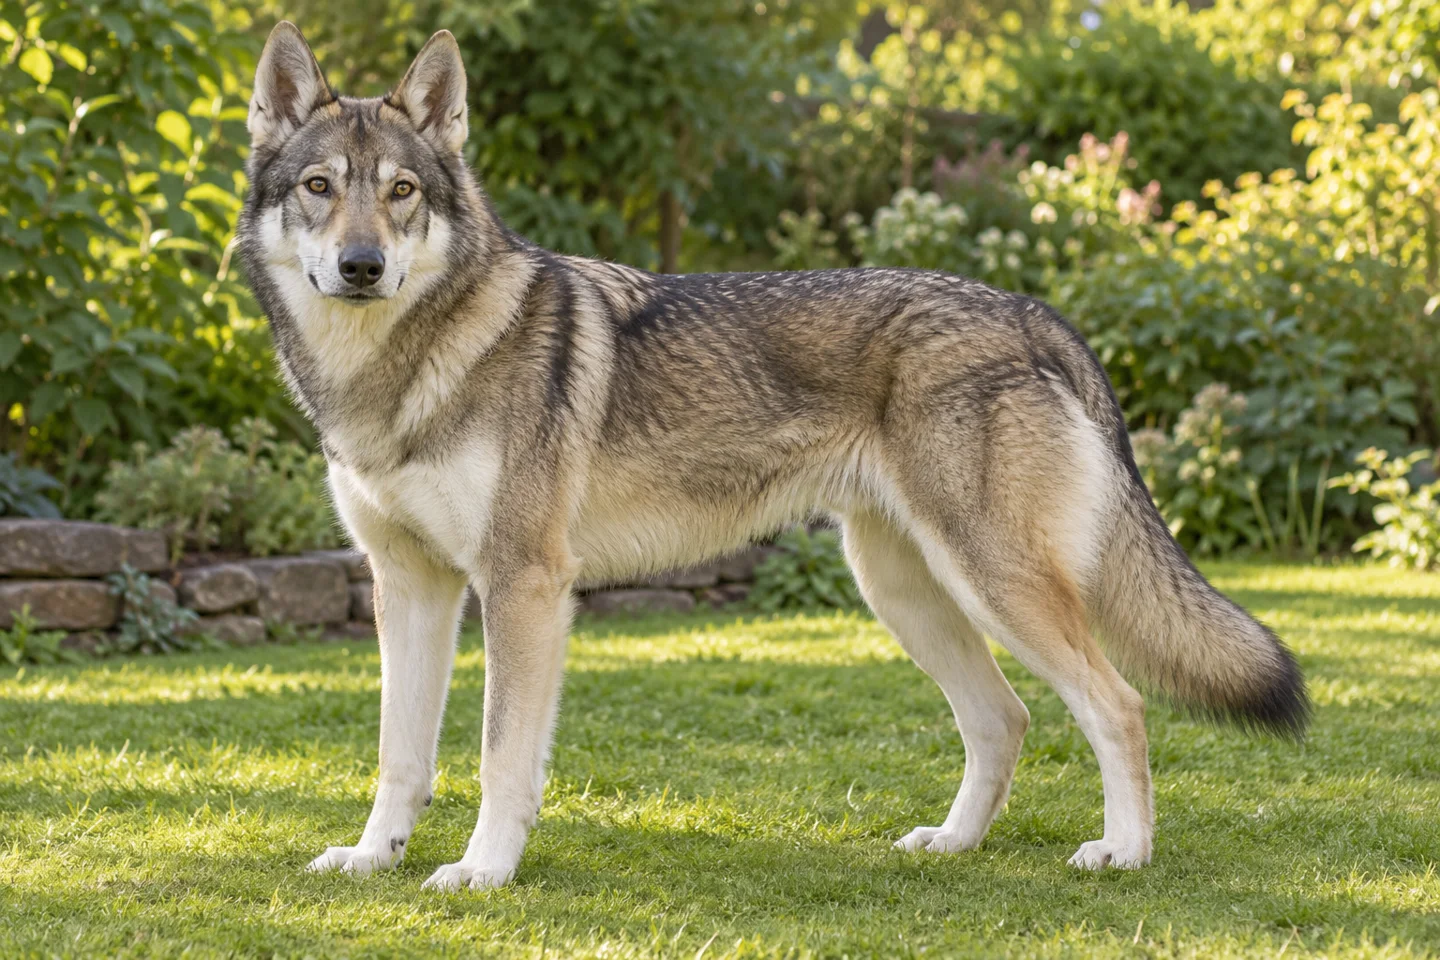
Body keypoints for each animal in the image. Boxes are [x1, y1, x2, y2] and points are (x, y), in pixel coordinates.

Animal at [236, 23, 1308, 890]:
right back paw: (954, 846)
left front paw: (482, 871)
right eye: (320, 189)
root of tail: (1032, 311)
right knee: (1005, 720)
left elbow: (502, 757)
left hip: (992, 582)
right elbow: (401, 755)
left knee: (1117, 704)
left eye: (401, 192)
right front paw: (373, 857)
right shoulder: (409, 586)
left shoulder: (522, 584)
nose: (362, 267)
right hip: (904, 589)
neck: (400, 368)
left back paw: (1123, 851)